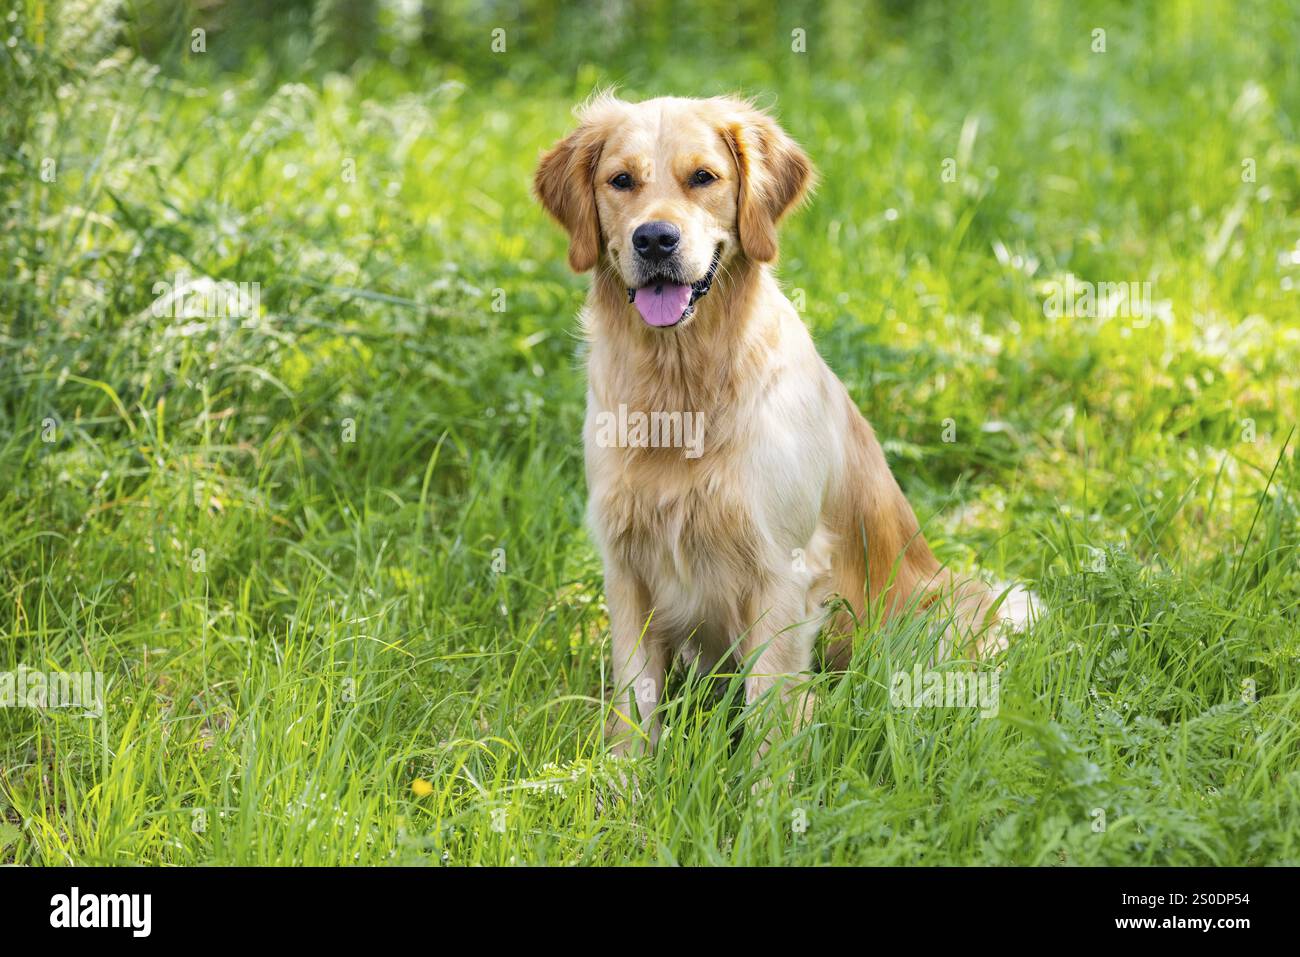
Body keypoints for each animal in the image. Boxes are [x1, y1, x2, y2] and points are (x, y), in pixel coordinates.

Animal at [533, 97, 1029, 754]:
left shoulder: (782, 570)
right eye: (621, 181)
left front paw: (765, 785)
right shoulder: (626, 566)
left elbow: (771, 710)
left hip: (947, 607)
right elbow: (633, 704)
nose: (655, 239)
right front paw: (624, 780)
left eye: (703, 177)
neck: (682, 387)